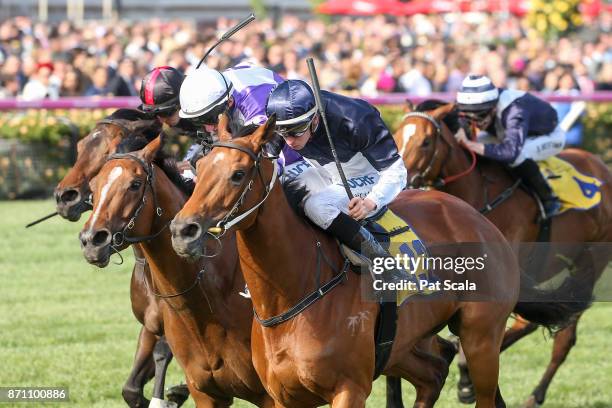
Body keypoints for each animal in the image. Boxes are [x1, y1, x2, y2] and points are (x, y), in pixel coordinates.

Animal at [53, 110, 185, 406]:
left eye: (109, 150)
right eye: (80, 146)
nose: (64, 196)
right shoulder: (149, 327)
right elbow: (131, 389)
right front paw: (174, 394)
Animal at [171, 113, 524, 406]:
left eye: (238, 174)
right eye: (199, 168)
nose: (182, 230)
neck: (295, 295)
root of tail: (478, 218)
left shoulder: (349, 389)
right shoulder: (283, 395)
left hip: (481, 339)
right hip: (402, 347)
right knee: (434, 374)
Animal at [392, 100, 612, 406]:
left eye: (425, 142)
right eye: (397, 136)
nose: (402, 183)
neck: (478, 195)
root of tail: (601, 167)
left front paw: (465, 377)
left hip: (590, 261)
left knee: (562, 337)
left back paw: (533, 394)